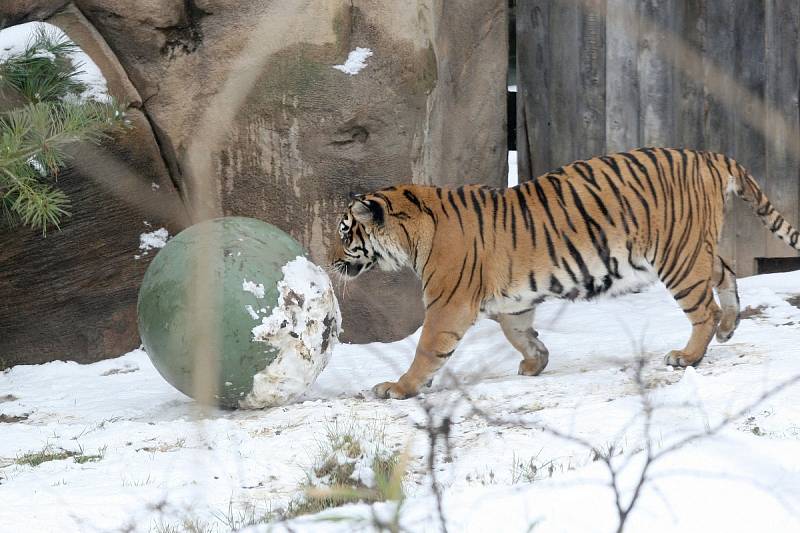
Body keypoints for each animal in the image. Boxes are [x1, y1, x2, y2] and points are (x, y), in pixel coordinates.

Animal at [332, 148, 800, 396]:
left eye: (344, 231)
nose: (332, 260)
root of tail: (707, 154)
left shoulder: (448, 304)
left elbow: (427, 350)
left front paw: (399, 388)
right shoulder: (512, 302)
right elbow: (518, 332)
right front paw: (535, 362)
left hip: (678, 256)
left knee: (703, 308)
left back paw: (688, 355)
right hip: (697, 247)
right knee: (726, 274)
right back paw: (729, 327)